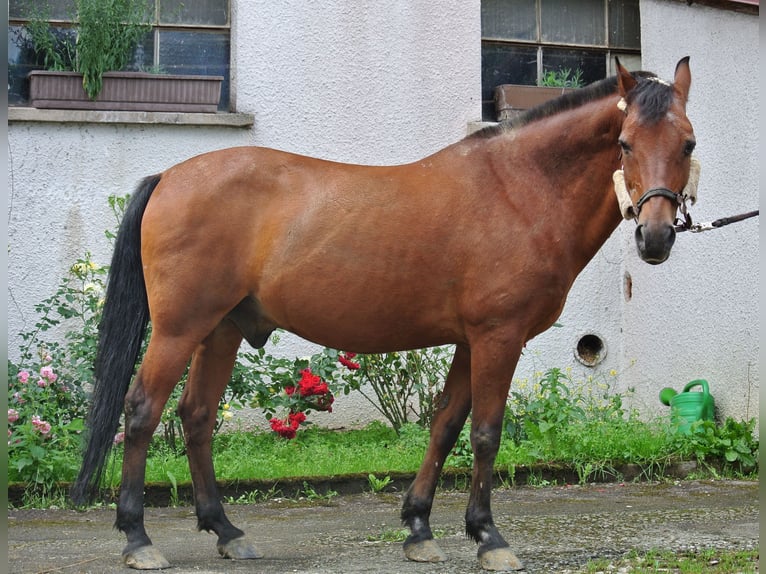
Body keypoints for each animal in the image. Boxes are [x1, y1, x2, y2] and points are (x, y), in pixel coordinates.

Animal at [69, 58, 700, 572]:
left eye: (689, 143)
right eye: (624, 142)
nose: (655, 237)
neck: (519, 188)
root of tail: (170, 177)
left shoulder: (470, 341)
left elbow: (445, 424)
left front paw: (419, 528)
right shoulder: (499, 337)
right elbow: (486, 432)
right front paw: (489, 538)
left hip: (220, 330)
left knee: (196, 416)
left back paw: (226, 530)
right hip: (180, 329)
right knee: (142, 410)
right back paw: (137, 538)